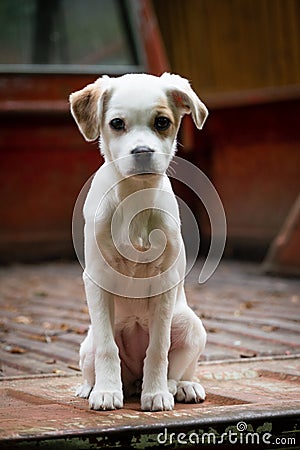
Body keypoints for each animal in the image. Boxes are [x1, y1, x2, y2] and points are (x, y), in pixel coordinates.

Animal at [69, 71, 207, 412]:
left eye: (162, 122)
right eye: (117, 123)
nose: (142, 152)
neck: (134, 199)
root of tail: (132, 380)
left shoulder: (165, 284)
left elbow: (157, 349)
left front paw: (156, 393)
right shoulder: (97, 279)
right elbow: (108, 348)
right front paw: (106, 392)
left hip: (189, 325)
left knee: (177, 367)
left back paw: (180, 387)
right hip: (88, 343)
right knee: (97, 357)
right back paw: (92, 387)